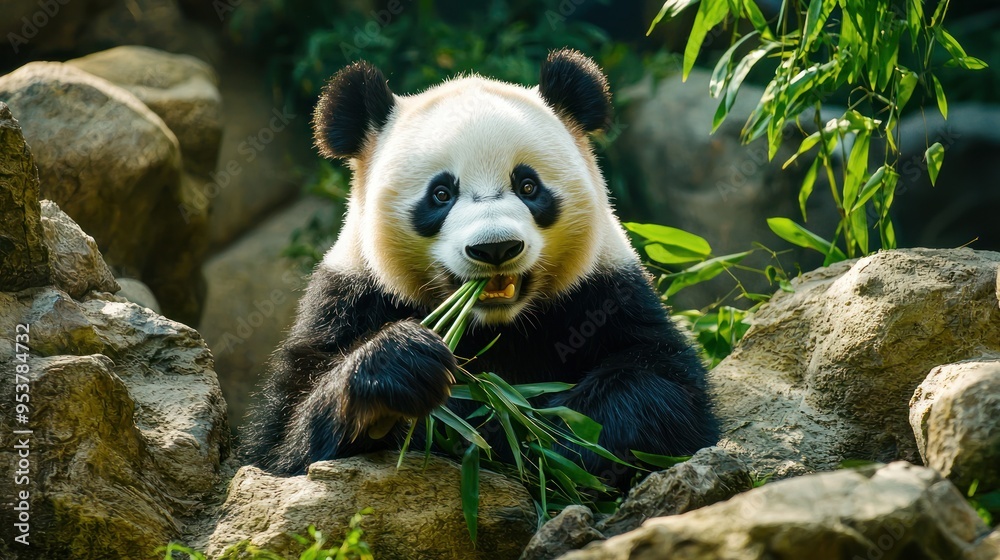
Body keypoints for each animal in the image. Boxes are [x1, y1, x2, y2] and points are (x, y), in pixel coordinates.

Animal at [241, 49, 718, 490]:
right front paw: (403, 371)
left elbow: (663, 384)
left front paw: (550, 439)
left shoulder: (604, 291)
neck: (495, 326)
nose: (495, 247)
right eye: (441, 194)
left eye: (528, 186)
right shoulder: (351, 297)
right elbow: (284, 437)